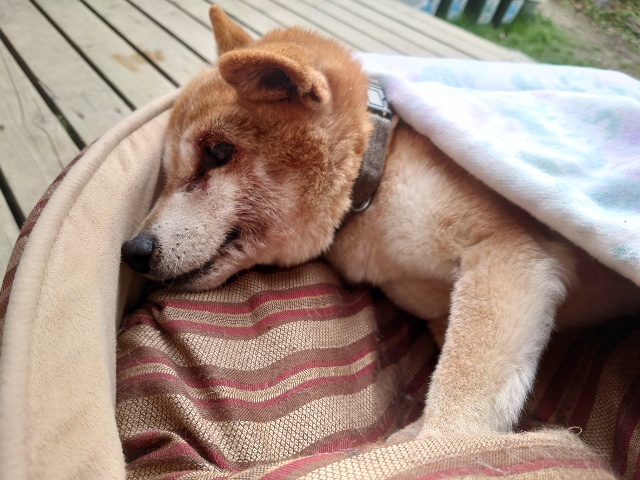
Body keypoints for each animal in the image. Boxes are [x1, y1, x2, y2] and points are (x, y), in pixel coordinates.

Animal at [122, 6, 640, 440]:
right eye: (167, 174)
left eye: (218, 152)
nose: (132, 250)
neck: (371, 185)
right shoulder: (445, 311)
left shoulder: (515, 252)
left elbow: (450, 421)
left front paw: (424, 449)